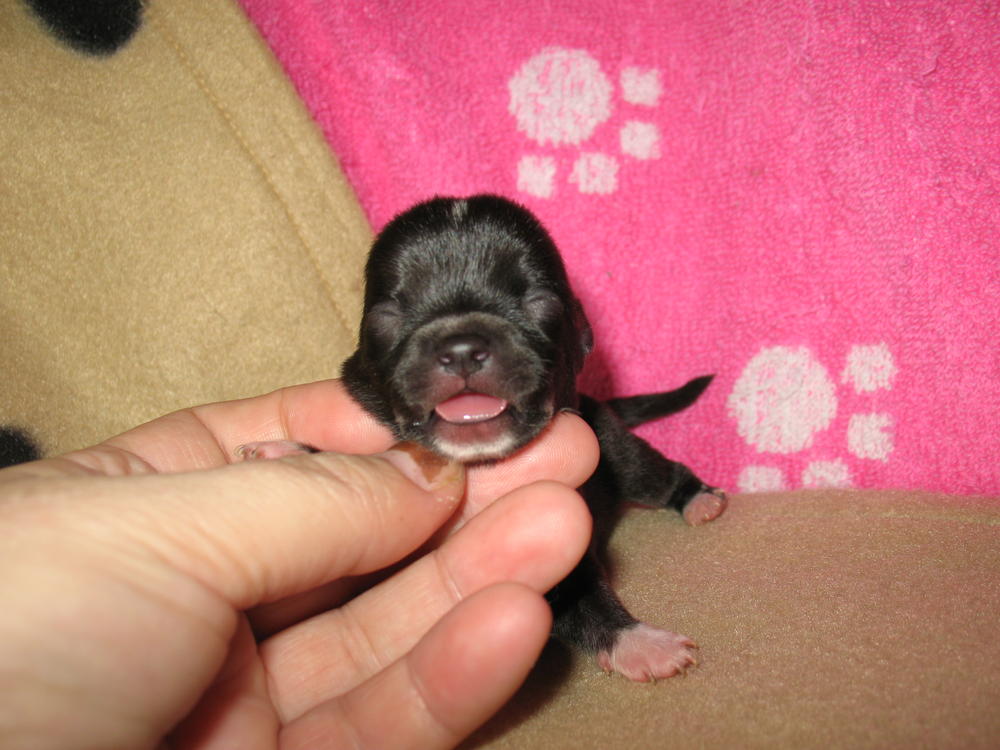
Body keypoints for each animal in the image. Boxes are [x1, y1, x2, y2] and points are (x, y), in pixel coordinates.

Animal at [248, 195, 727, 681]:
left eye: (538, 301)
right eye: (388, 315)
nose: (461, 348)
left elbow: (584, 595)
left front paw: (640, 641)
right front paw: (289, 452)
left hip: (616, 448)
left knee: (659, 475)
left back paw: (699, 499)